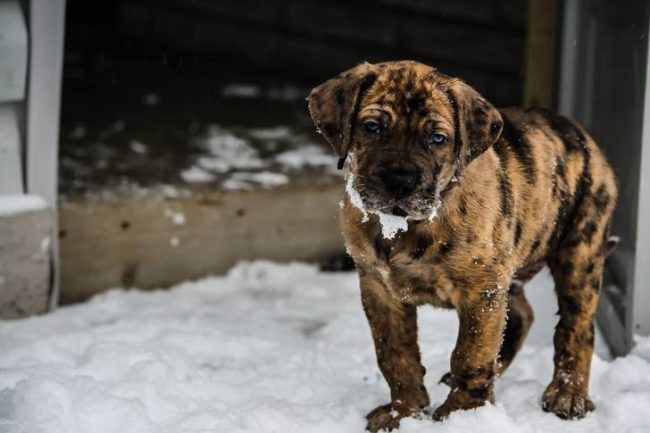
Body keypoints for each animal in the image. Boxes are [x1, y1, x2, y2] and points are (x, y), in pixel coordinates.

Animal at [306, 60, 616, 428]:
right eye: (372, 128)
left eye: (437, 139)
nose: (399, 180)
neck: (406, 227)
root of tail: (581, 134)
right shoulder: (378, 287)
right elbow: (395, 354)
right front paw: (404, 412)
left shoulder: (482, 289)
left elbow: (471, 353)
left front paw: (462, 414)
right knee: (522, 314)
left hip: (580, 253)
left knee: (576, 328)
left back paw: (567, 395)